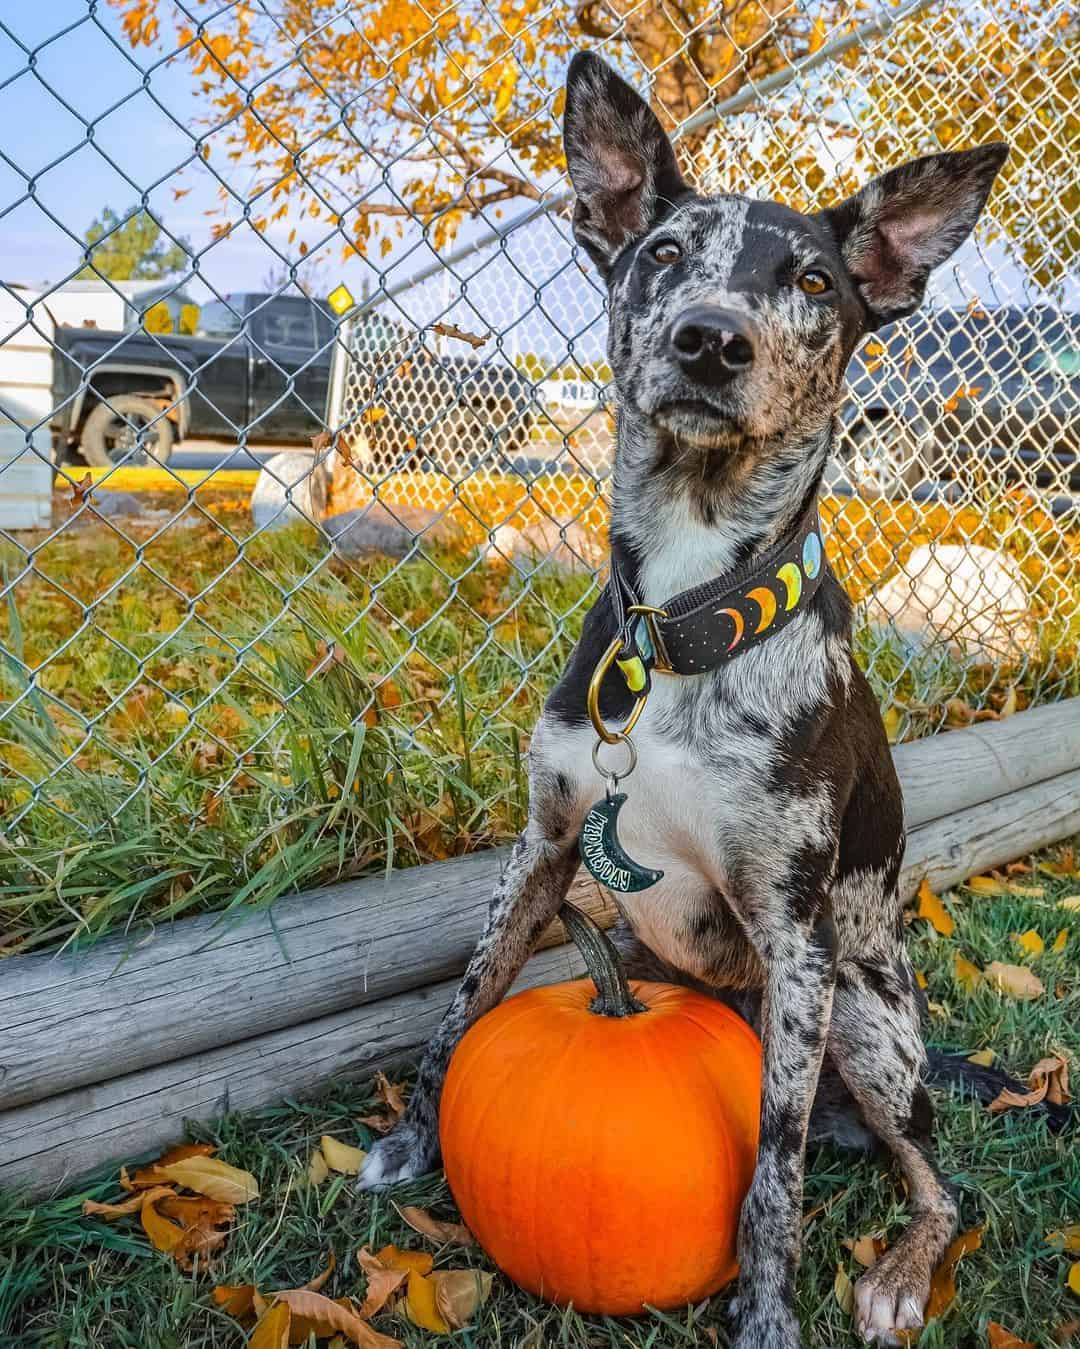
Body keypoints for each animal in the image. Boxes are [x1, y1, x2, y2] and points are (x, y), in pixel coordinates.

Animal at [361, 52, 1013, 1349]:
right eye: (662, 252)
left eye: (812, 279)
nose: (713, 340)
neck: (683, 605)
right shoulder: (545, 844)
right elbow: (462, 1002)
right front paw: (410, 1136)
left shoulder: (797, 942)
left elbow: (774, 1170)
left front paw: (765, 1313)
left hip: (866, 1019)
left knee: (935, 1177)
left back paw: (903, 1265)